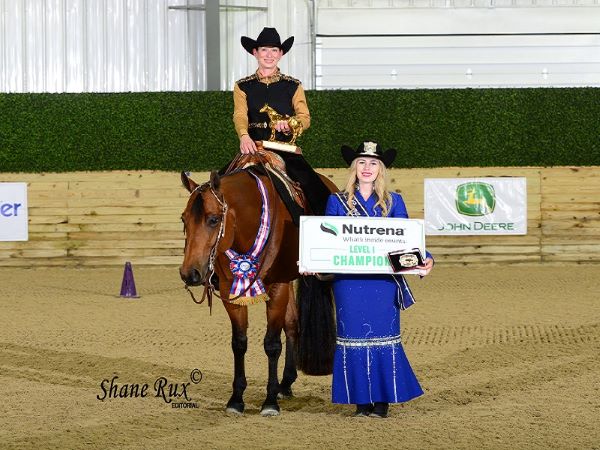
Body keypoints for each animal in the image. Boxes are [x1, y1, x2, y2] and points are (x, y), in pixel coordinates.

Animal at [178, 167, 338, 416]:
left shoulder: (277, 287)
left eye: (213, 219)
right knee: (292, 324)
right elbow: (239, 343)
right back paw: (286, 383)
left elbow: (272, 344)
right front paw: (236, 399)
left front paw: (269, 401)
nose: (189, 273)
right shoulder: (231, 292)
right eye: (184, 219)